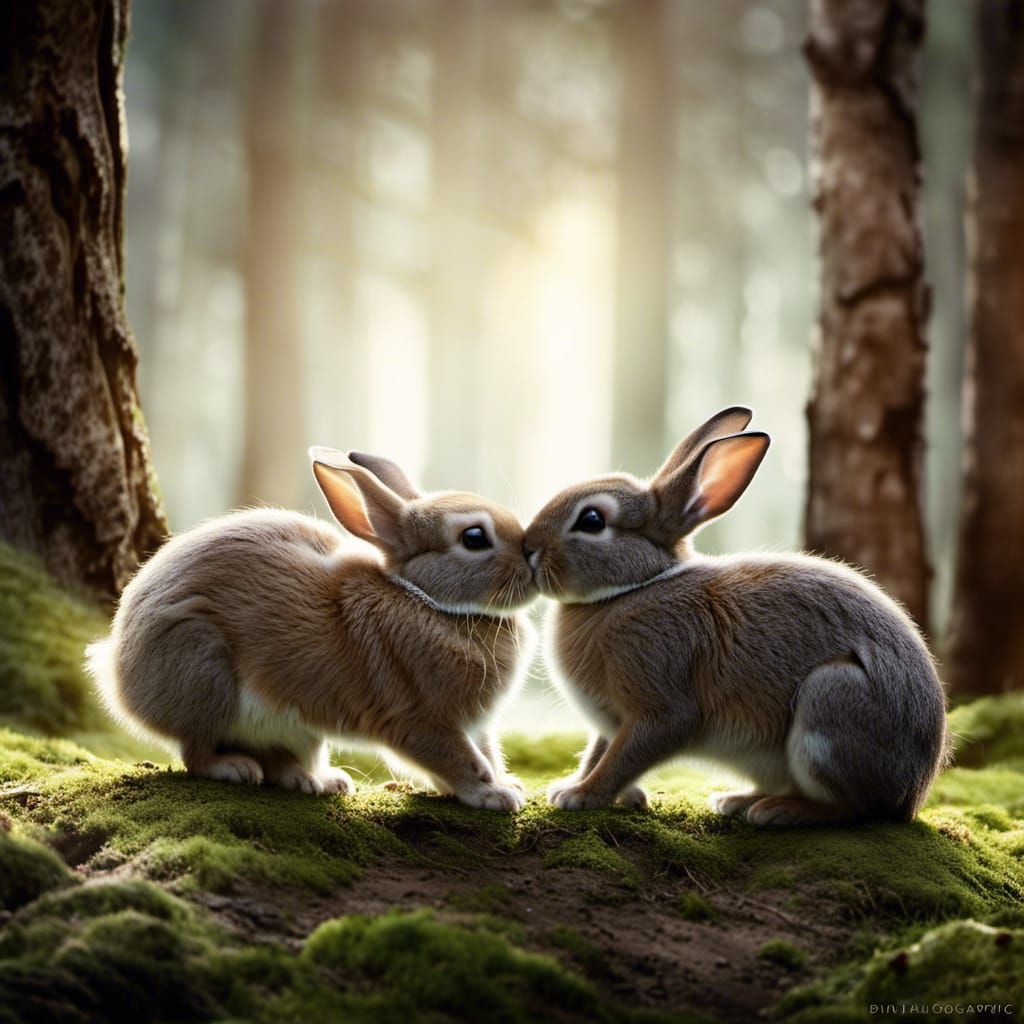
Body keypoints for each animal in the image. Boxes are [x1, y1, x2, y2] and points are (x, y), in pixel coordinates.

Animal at [85, 448, 537, 811]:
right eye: (474, 537)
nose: (532, 558)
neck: (427, 599)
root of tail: (117, 671)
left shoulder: (474, 725)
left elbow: (486, 753)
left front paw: (506, 785)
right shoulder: (420, 718)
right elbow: (461, 760)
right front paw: (494, 796)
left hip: (296, 727)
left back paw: (318, 781)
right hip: (204, 673)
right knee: (195, 751)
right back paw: (234, 768)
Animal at [523, 407, 948, 825]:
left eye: (592, 520)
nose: (527, 548)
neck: (635, 587)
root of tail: (913, 792)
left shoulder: (660, 708)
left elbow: (623, 758)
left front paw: (582, 797)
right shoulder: (611, 723)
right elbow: (599, 752)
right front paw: (577, 788)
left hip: (831, 700)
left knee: (855, 809)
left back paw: (775, 811)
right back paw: (739, 800)